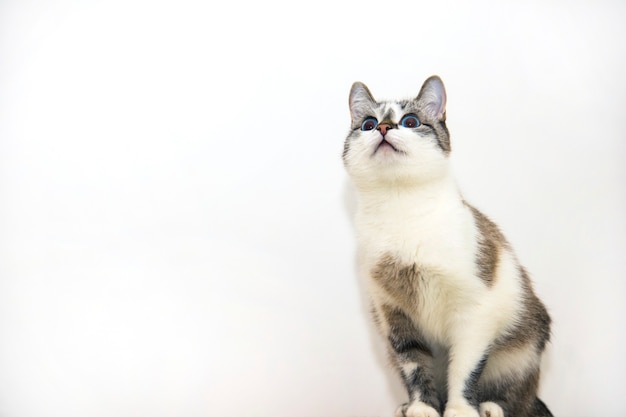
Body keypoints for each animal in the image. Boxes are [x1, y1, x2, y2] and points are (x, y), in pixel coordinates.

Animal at [342, 75, 552, 416]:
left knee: (520, 397)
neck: (400, 207)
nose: (384, 128)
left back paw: (491, 407)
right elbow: (415, 364)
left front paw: (460, 410)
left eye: (410, 122)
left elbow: (465, 368)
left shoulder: (474, 312)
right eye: (368, 124)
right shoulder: (393, 314)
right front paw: (422, 407)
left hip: (522, 350)